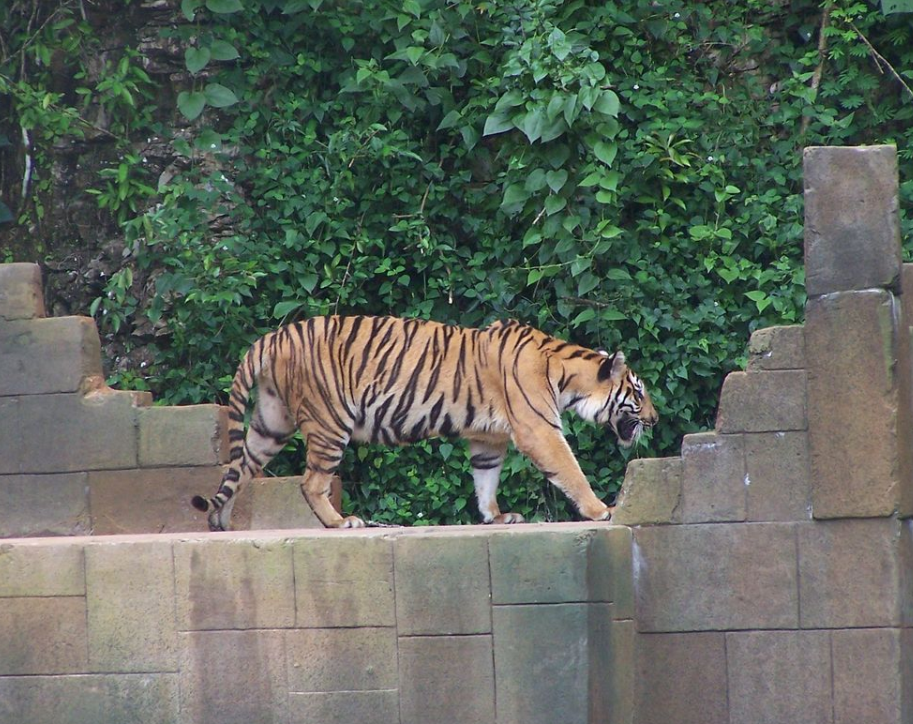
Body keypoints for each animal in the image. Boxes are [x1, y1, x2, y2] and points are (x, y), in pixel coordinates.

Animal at [191, 315, 658, 530]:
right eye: (638, 394)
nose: (655, 420)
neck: (565, 374)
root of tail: (273, 336)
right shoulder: (538, 429)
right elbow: (570, 470)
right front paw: (601, 509)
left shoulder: (487, 439)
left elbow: (485, 480)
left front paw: (495, 517)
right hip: (329, 421)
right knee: (311, 482)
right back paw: (341, 522)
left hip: (271, 422)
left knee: (239, 468)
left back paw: (220, 523)